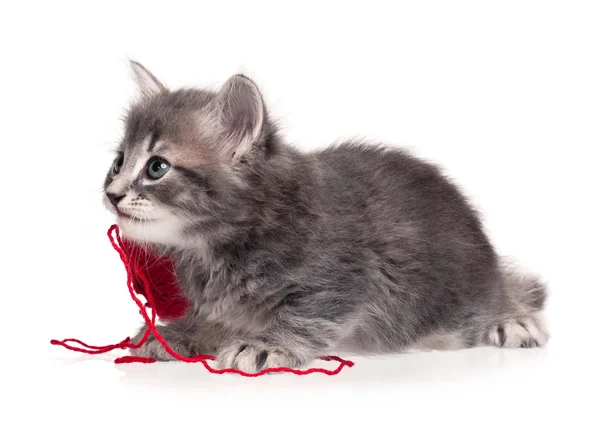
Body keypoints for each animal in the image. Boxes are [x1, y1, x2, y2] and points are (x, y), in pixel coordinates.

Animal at [104, 60, 548, 370]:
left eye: (157, 167)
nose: (112, 194)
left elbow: (307, 315)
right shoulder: (220, 300)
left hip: (465, 287)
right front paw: (182, 333)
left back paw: (511, 319)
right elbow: (217, 318)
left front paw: (265, 343)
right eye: (118, 162)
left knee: (500, 295)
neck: (216, 246)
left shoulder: (345, 279)